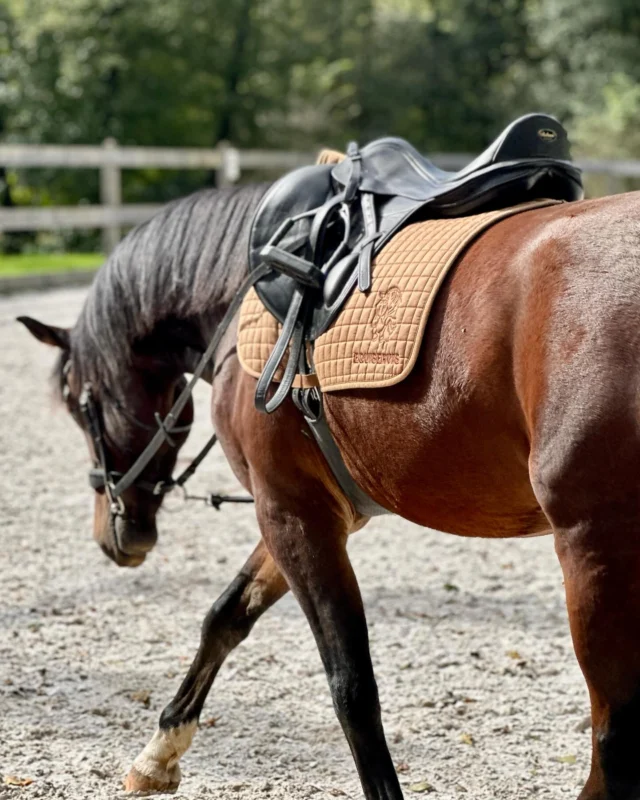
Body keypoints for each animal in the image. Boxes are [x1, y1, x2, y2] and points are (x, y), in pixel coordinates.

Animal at [18, 184, 640, 800]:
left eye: (75, 402)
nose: (119, 536)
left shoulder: (292, 513)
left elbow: (351, 686)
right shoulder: (302, 508)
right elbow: (227, 615)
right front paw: (158, 752)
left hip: (596, 556)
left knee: (614, 742)